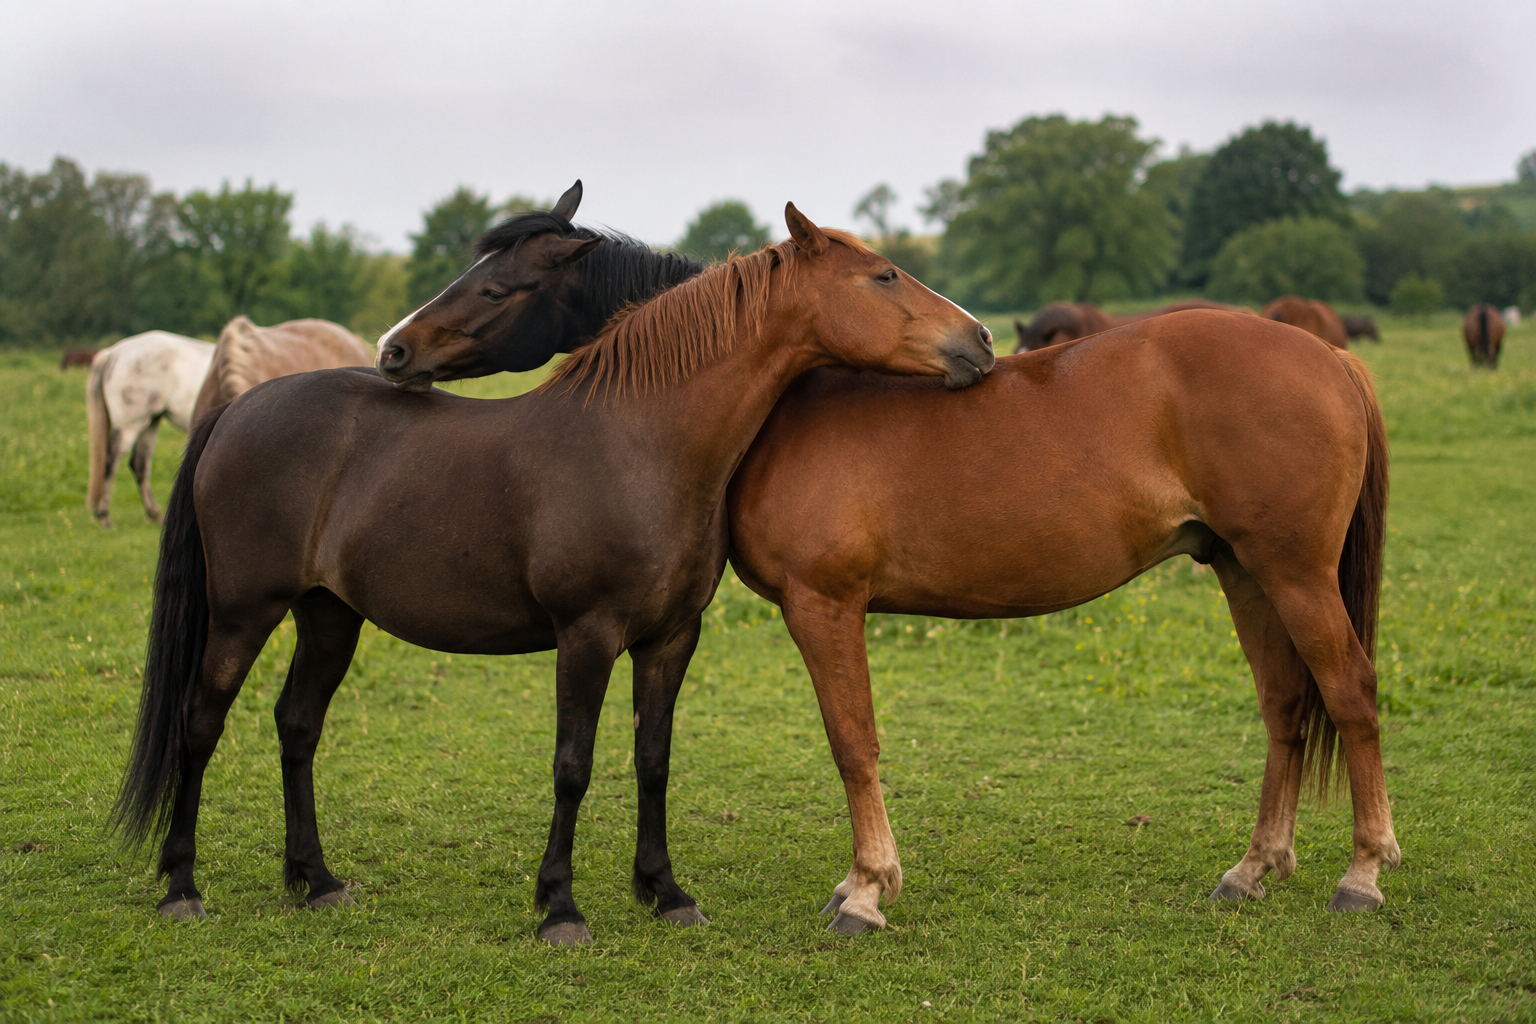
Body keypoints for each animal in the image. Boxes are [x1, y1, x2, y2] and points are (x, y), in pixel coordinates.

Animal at [85, 332, 216, 529]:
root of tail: (114, 353)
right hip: (131, 425)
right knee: (111, 463)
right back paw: (105, 517)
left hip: (150, 423)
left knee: (139, 464)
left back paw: (155, 515)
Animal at [726, 311, 1396, 933]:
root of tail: (1329, 356)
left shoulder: (824, 605)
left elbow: (851, 742)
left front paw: (863, 891)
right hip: (1248, 574)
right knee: (1284, 707)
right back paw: (1251, 868)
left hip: (1298, 577)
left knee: (1350, 692)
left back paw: (1362, 874)